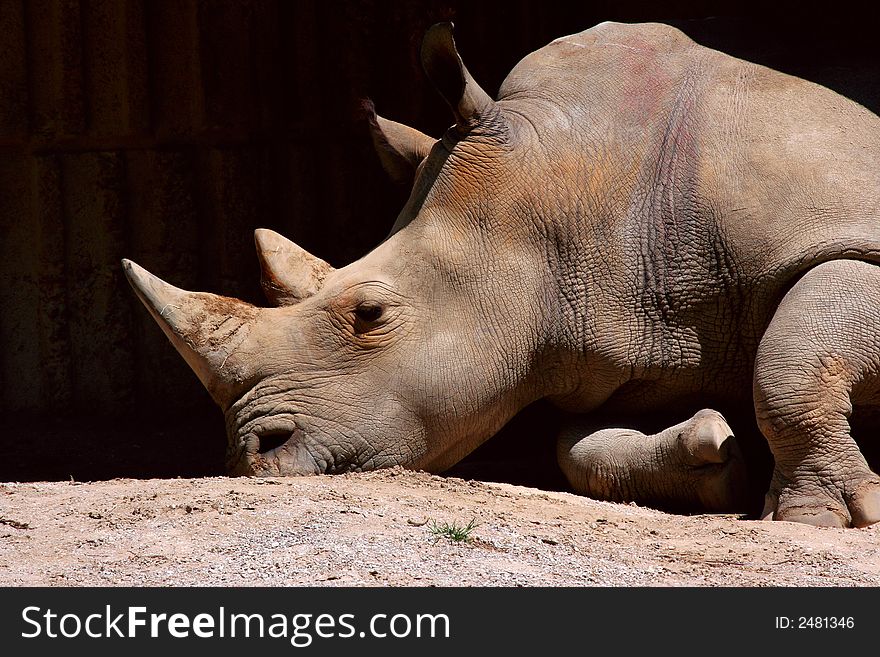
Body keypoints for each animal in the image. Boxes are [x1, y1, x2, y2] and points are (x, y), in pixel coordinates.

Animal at [125, 21, 880, 528]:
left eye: (370, 314)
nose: (252, 453)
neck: (582, 193)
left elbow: (789, 363)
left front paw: (824, 517)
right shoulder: (625, 335)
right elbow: (581, 449)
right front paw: (716, 457)